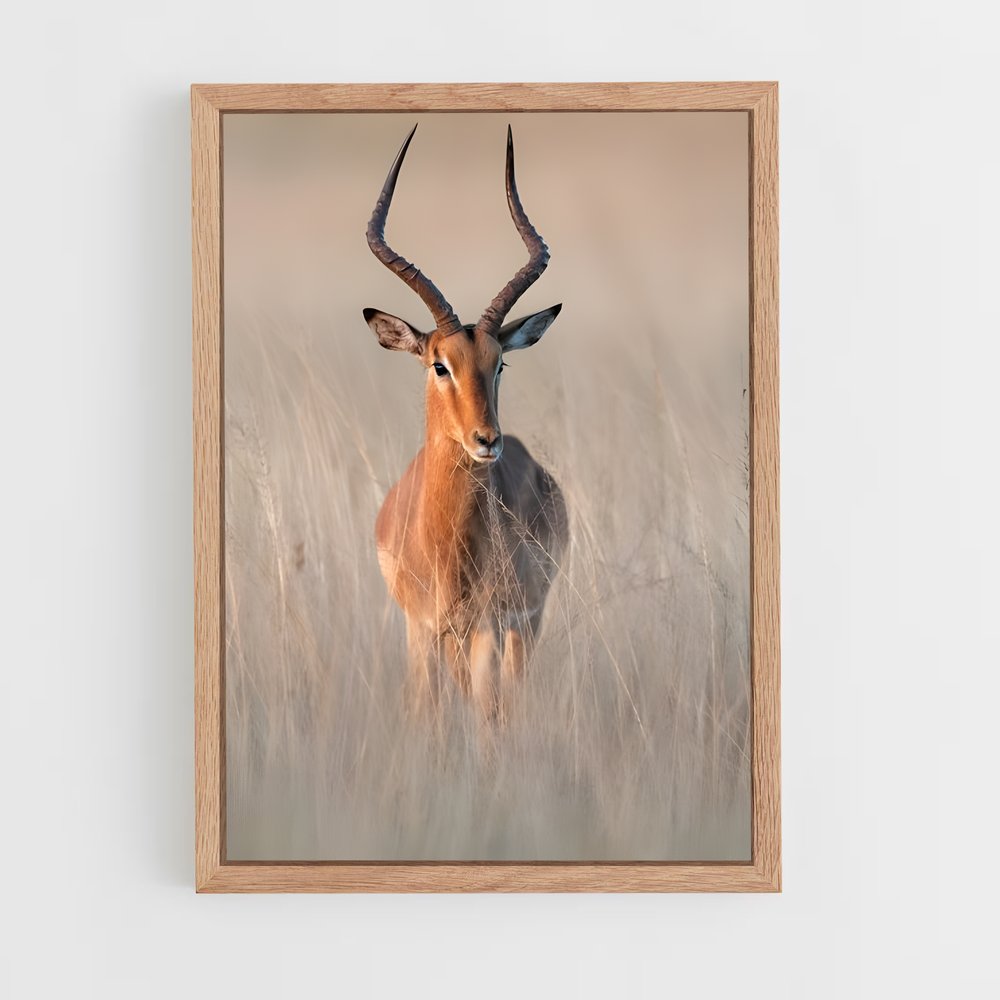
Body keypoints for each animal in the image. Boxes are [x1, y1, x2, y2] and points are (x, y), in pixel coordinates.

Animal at [363, 124, 568, 722]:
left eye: (499, 363)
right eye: (440, 364)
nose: (486, 440)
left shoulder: (486, 632)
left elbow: (486, 723)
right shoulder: (421, 632)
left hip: (524, 626)